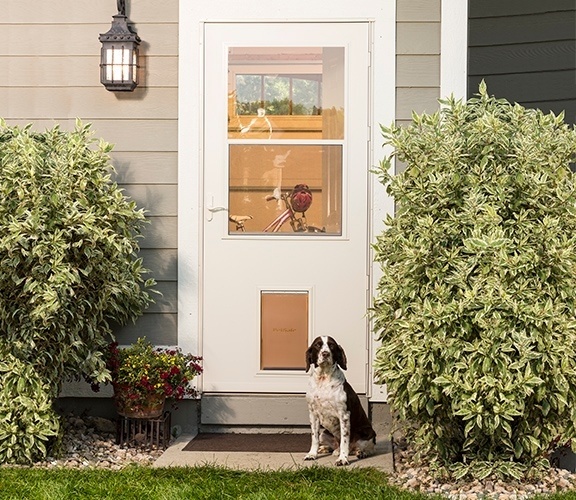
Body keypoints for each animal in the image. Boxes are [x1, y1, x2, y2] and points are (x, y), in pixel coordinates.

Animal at [304, 336, 376, 464]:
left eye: (331, 345)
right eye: (317, 345)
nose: (325, 354)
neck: (324, 379)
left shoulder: (344, 415)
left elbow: (344, 440)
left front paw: (342, 459)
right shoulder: (313, 415)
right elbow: (314, 437)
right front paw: (312, 454)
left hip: (367, 433)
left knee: (366, 448)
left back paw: (361, 453)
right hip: (324, 433)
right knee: (333, 444)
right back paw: (327, 449)